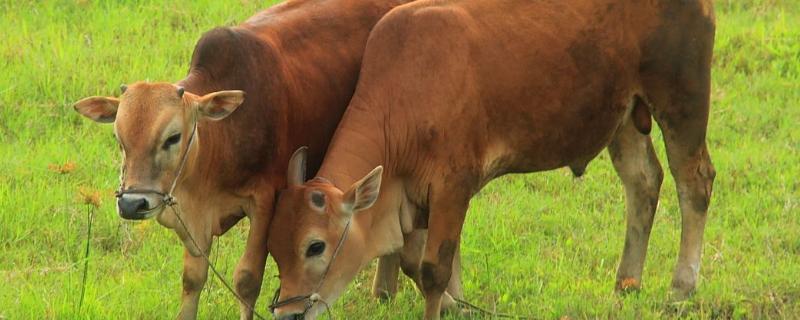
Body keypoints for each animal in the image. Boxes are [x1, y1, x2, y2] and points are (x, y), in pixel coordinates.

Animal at [72, 0, 416, 318]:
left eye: (173, 137)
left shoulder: (264, 201)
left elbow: (247, 279)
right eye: (119, 140)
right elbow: (192, 279)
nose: (132, 204)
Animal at [266, 0, 716, 318]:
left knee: (694, 182)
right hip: (623, 115)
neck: (404, 94)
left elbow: (433, 270)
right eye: (273, 248)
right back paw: (627, 282)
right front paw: (457, 305)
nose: (288, 313)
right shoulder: (413, 195)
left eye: (315, 246)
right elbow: (414, 261)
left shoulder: (452, 185)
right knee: (644, 182)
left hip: (682, 100)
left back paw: (681, 287)